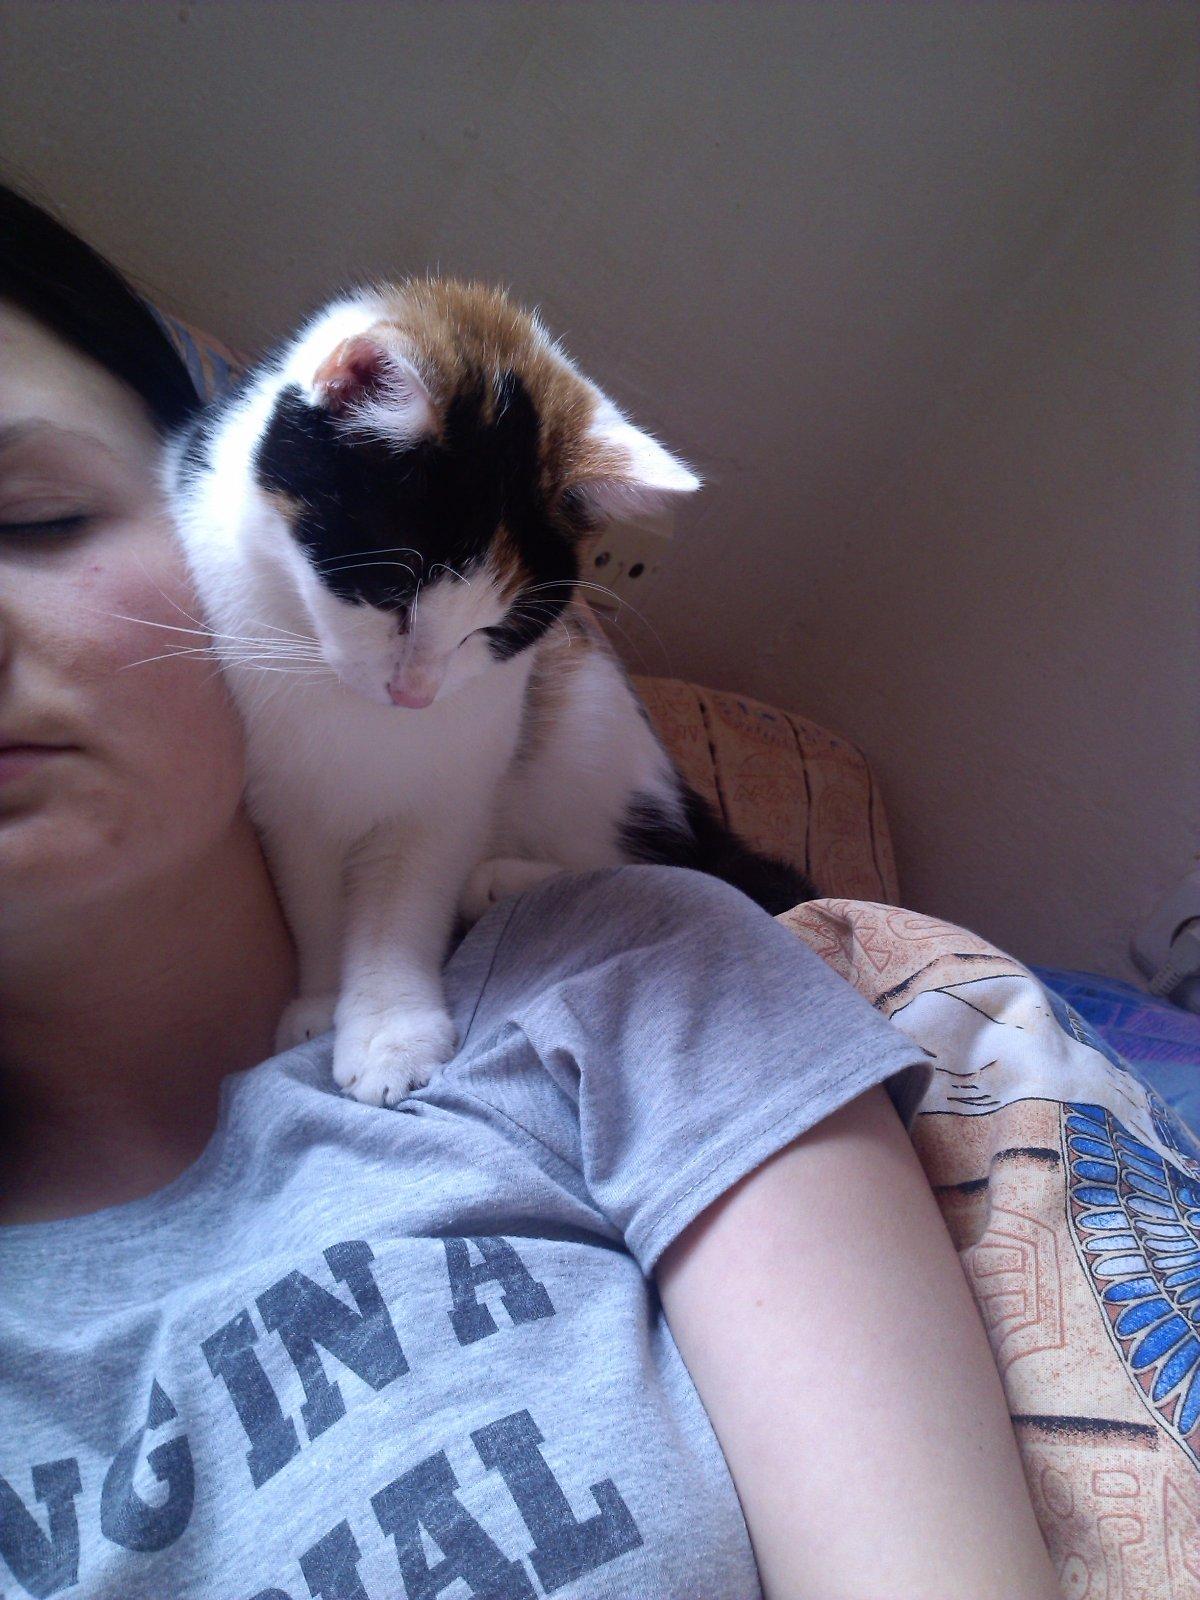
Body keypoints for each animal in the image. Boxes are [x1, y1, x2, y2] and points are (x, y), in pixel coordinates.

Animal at [166, 279, 816, 1106]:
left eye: (495, 630)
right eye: (389, 591)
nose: (415, 695)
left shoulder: (449, 792)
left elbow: (402, 905)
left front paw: (390, 1034)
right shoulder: (286, 794)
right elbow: (312, 899)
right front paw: (320, 1000)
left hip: (581, 736)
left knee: (668, 867)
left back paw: (503, 882)